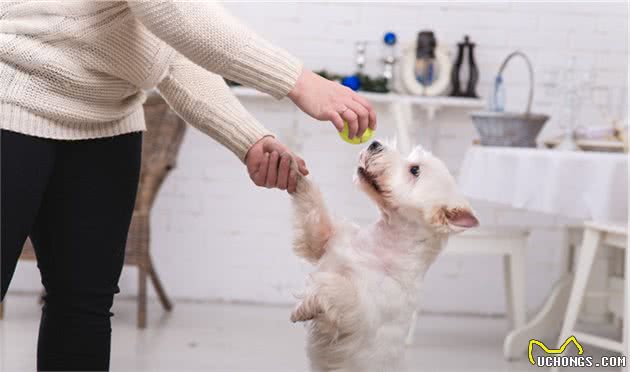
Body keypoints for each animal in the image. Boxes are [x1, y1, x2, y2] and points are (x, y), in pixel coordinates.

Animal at [292, 140, 478, 372]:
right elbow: (314, 210)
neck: (380, 244)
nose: (374, 143)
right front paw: (294, 171)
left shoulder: (362, 310)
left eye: (414, 170)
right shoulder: (327, 240)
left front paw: (303, 308)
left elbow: (337, 288)